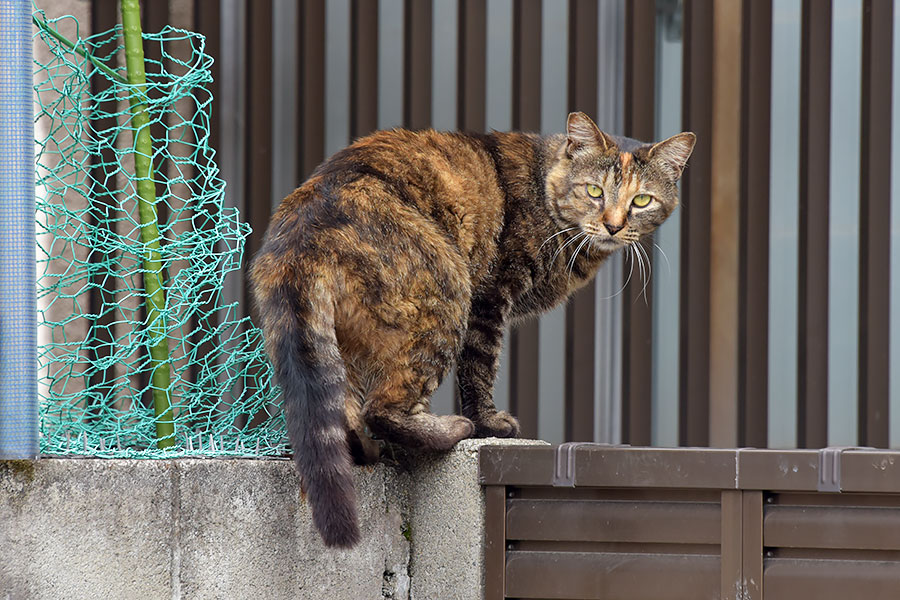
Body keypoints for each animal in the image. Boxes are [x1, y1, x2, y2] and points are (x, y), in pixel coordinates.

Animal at [250, 112, 700, 548]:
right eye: (594, 191)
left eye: (641, 200)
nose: (612, 225)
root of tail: (302, 232)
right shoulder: (490, 297)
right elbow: (480, 368)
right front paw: (488, 423)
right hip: (448, 291)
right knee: (381, 407)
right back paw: (449, 429)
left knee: (346, 415)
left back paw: (370, 449)